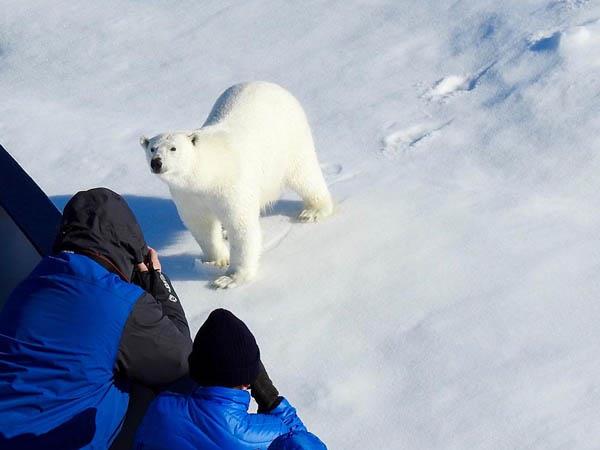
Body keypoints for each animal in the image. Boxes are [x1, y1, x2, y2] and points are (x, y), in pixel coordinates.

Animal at [143, 81, 336, 288]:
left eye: (173, 148)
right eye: (152, 148)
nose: (157, 162)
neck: (208, 172)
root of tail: (273, 86)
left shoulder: (231, 185)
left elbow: (241, 225)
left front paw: (229, 278)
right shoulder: (188, 195)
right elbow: (200, 224)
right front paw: (216, 261)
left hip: (290, 140)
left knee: (305, 174)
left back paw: (313, 211)